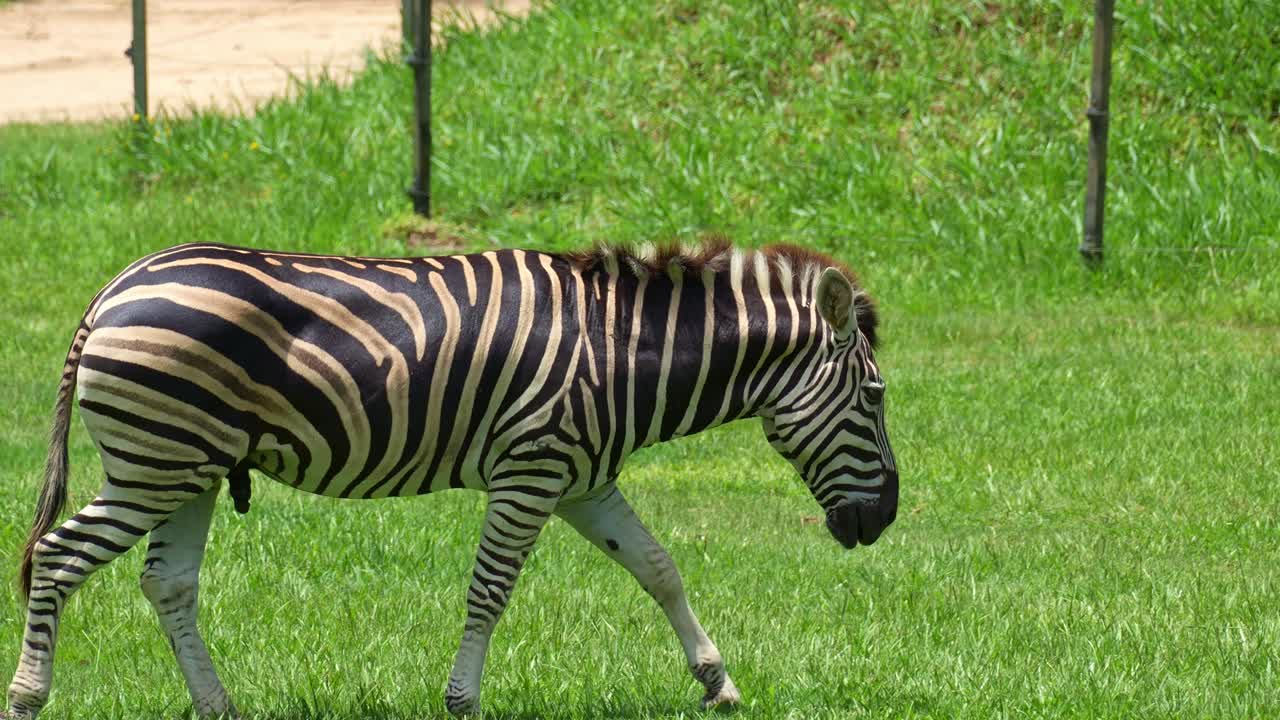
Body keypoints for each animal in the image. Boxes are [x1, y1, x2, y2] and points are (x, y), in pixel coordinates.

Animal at [6, 239, 898, 718]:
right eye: (877, 397)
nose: (885, 520)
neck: (617, 351)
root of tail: (112, 289)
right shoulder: (531, 470)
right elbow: (490, 593)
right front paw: (463, 699)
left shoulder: (583, 480)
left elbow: (658, 568)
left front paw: (717, 681)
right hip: (155, 466)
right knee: (57, 558)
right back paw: (28, 696)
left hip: (189, 469)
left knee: (168, 583)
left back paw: (218, 706)